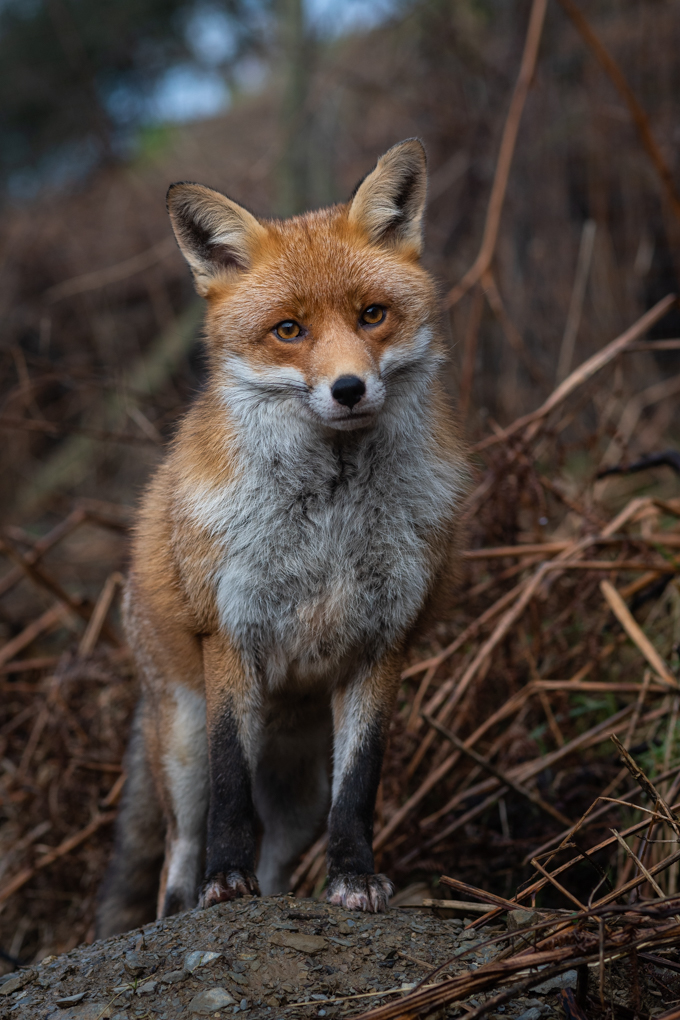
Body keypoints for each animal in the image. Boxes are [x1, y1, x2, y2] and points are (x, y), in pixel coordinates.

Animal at [95, 138, 469, 938]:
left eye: (372, 315)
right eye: (288, 331)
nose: (349, 390)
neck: (327, 521)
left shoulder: (382, 643)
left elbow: (360, 790)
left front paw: (354, 880)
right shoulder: (232, 633)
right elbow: (231, 788)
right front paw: (223, 883)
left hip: (301, 785)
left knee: (281, 856)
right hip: (181, 745)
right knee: (179, 849)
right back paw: (189, 902)